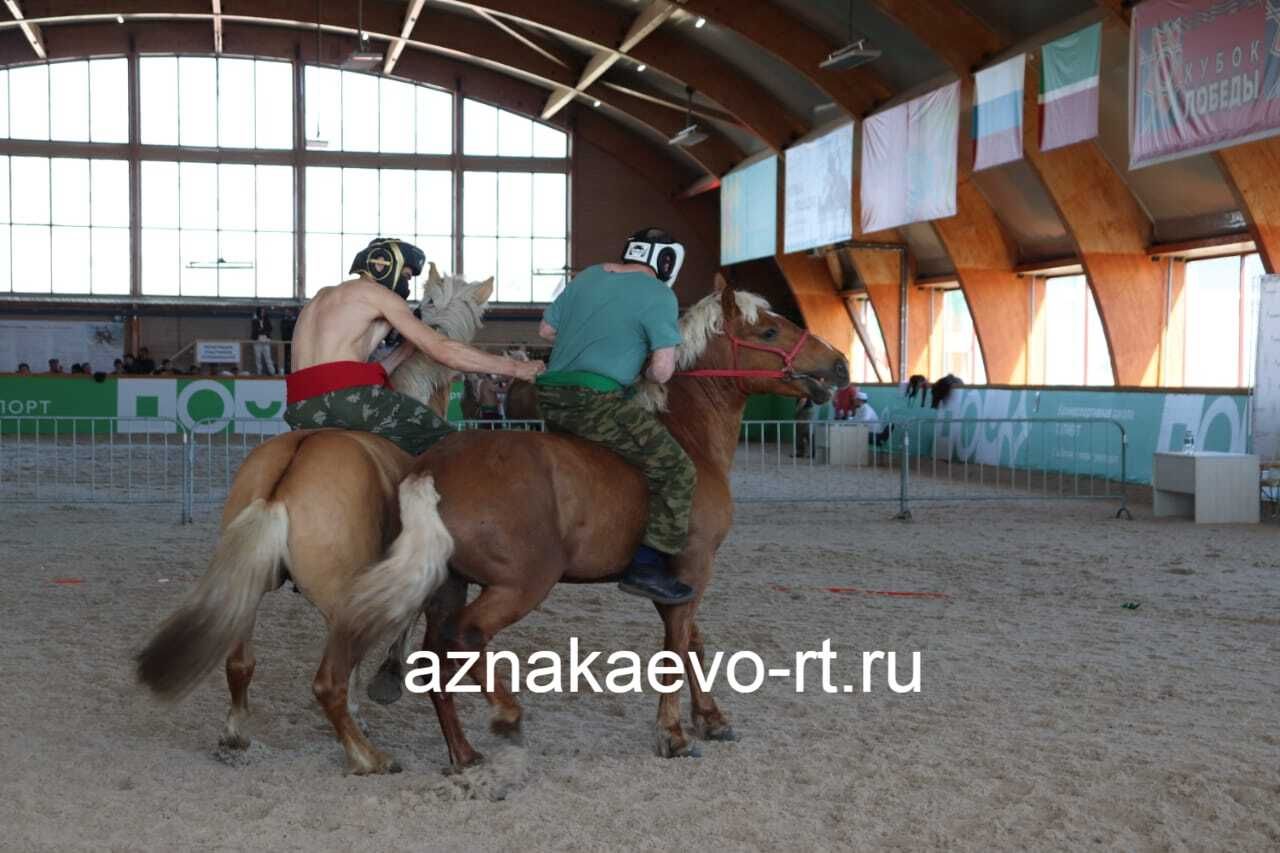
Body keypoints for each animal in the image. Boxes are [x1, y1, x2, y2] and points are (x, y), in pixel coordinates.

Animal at [136, 263, 488, 753]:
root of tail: (283, 483)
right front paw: (387, 680)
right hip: (337, 596)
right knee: (331, 676)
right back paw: (363, 748)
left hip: (247, 585)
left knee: (240, 663)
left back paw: (237, 731)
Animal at [317, 279, 849, 768]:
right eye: (770, 330)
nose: (841, 364)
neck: (688, 435)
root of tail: (432, 468)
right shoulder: (695, 567)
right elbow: (676, 650)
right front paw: (674, 733)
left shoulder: (677, 582)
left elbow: (692, 643)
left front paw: (711, 718)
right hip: (521, 584)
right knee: (464, 638)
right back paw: (506, 714)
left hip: (450, 584)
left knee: (436, 659)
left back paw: (464, 754)